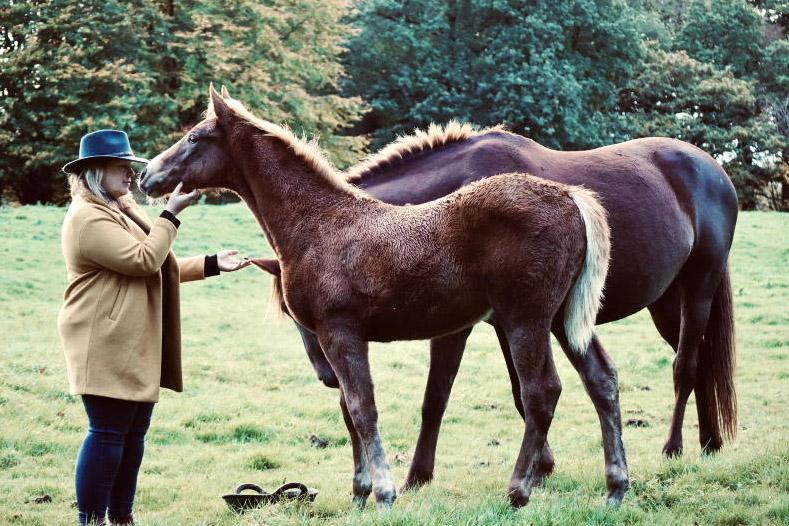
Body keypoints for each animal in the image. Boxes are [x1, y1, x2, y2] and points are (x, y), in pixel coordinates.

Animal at [140, 86, 613, 508]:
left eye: (195, 137)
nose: (147, 176)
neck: (320, 222)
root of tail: (571, 197)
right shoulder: (341, 339)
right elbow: (349, 411)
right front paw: (360, 492)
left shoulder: (339, 332)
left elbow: (362, 407)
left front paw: (383, 492)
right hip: (561, 319)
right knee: (599, 380)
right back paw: (615, 487)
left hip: (525, 319)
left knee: (540, 393)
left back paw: (518, 492)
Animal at [251, 114, 738, 497]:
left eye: (297, 316)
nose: (328, 376)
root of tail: (712, 168)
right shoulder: (502, 322)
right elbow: (516, 395)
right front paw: (541, 468)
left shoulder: (466, 325)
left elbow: (439, 397)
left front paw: (419, 476)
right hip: (665, 304)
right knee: (698, 365)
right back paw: (710, 441)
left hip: (699, 288)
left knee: (685, 367)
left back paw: (674, 447)